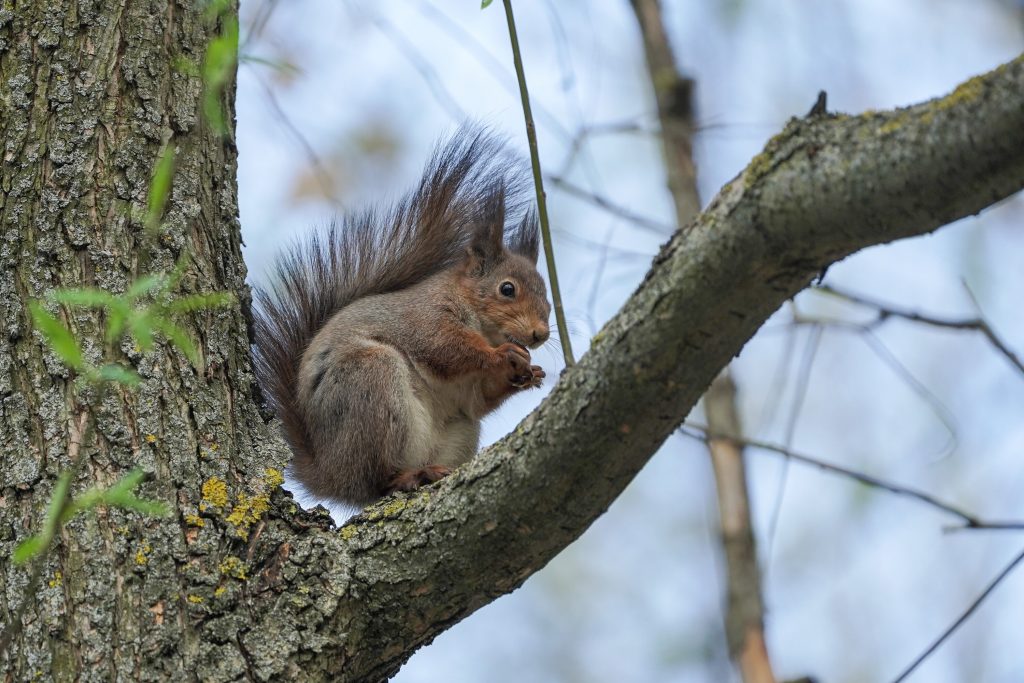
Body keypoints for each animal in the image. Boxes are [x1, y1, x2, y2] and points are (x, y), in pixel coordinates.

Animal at [251, 131, 552, 505]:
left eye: (547, 295)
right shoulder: (425, 317)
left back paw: (429, 472)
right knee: (375, 481)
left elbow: (478, 400)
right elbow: (445, 348)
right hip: (370, 379)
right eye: (507, 289)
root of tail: (330, 475)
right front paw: (501, 355)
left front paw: (528, 373)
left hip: (458, 429)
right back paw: (406, 476)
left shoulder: (469, 393)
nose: (541, 334)